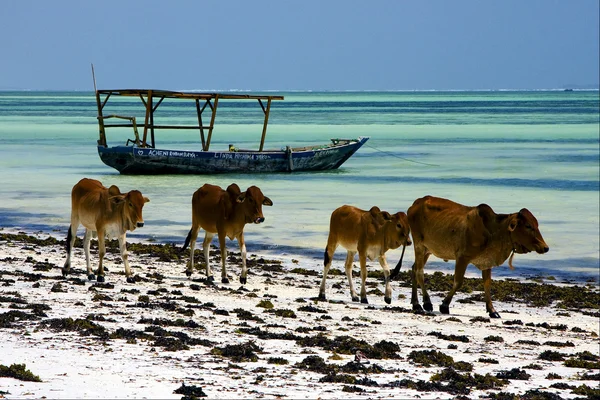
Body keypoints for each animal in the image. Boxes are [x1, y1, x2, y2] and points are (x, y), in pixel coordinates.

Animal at [392, 195, 552, 318]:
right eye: (528, 226)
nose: (545, 247)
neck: (493, 231)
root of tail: (416, 203)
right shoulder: (462, 257)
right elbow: (458, 282)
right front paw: (444, 305)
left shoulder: (487, 262)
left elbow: (487, 284)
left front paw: (492, 310)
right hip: (419, 245)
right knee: (419, 272)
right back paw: (426, 303)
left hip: (427, 250)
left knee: (414, 269)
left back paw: (415, 304)